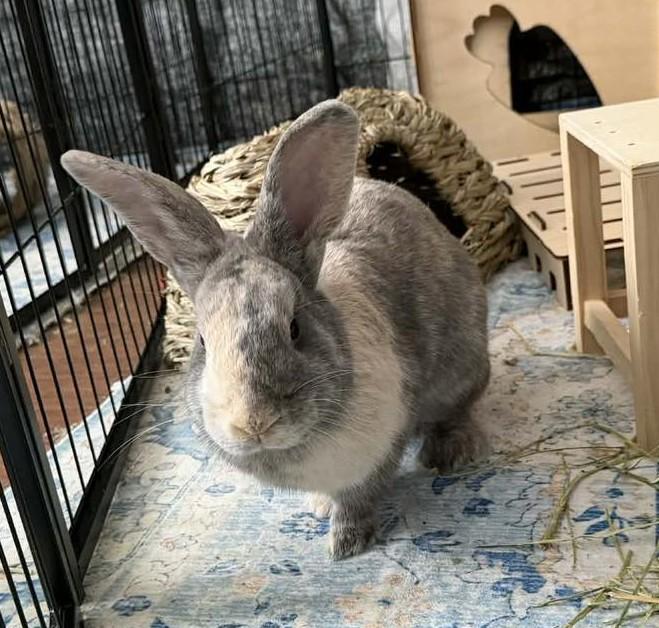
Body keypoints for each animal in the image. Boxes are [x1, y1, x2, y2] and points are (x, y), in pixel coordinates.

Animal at [60, 100, 490, 559]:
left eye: (295, 328)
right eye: (202, 341)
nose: (253, 423)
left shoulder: (378, 449)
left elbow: (358, 500)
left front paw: (345, 545)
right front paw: (322, 508)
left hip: (459, 371)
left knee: (456, 411)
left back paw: (448, 453)